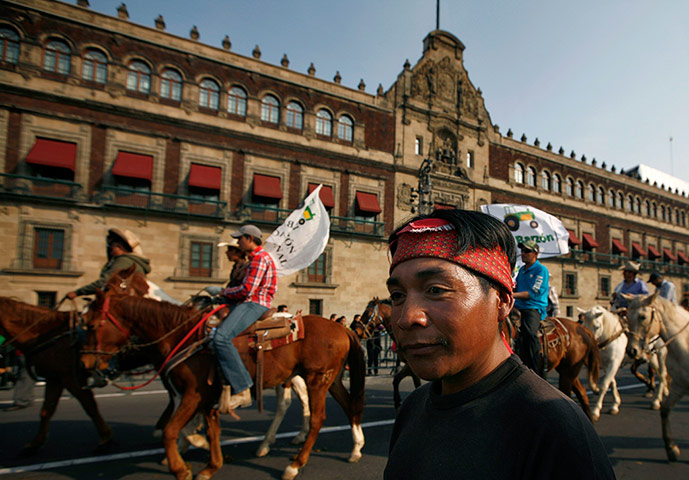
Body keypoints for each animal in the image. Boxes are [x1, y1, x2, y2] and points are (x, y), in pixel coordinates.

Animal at [0, 296, 113, 454]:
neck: (48, 334)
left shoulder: (71, 378)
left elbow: (89, 405)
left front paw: (105, 438)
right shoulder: (55, 378)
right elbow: (47, 410)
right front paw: (35, 443)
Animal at [80, 284, 366, 480]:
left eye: (92, 325)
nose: (86, 364)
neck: (183, 334)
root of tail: (342, 329)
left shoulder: (194, 393)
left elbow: (173, 430)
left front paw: (181, 467)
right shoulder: (206, 395)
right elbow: (209, 428)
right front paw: (208, 462)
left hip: (316, 379)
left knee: (318, 418)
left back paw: (294, 464)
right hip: (329, 378)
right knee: (348, 406)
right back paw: (354, 449)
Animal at [624, 290, 688, 464]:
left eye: (643, 317)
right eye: (627, 316)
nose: (631, 351)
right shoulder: (679, 386)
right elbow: (665, 410)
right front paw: (671, 449)